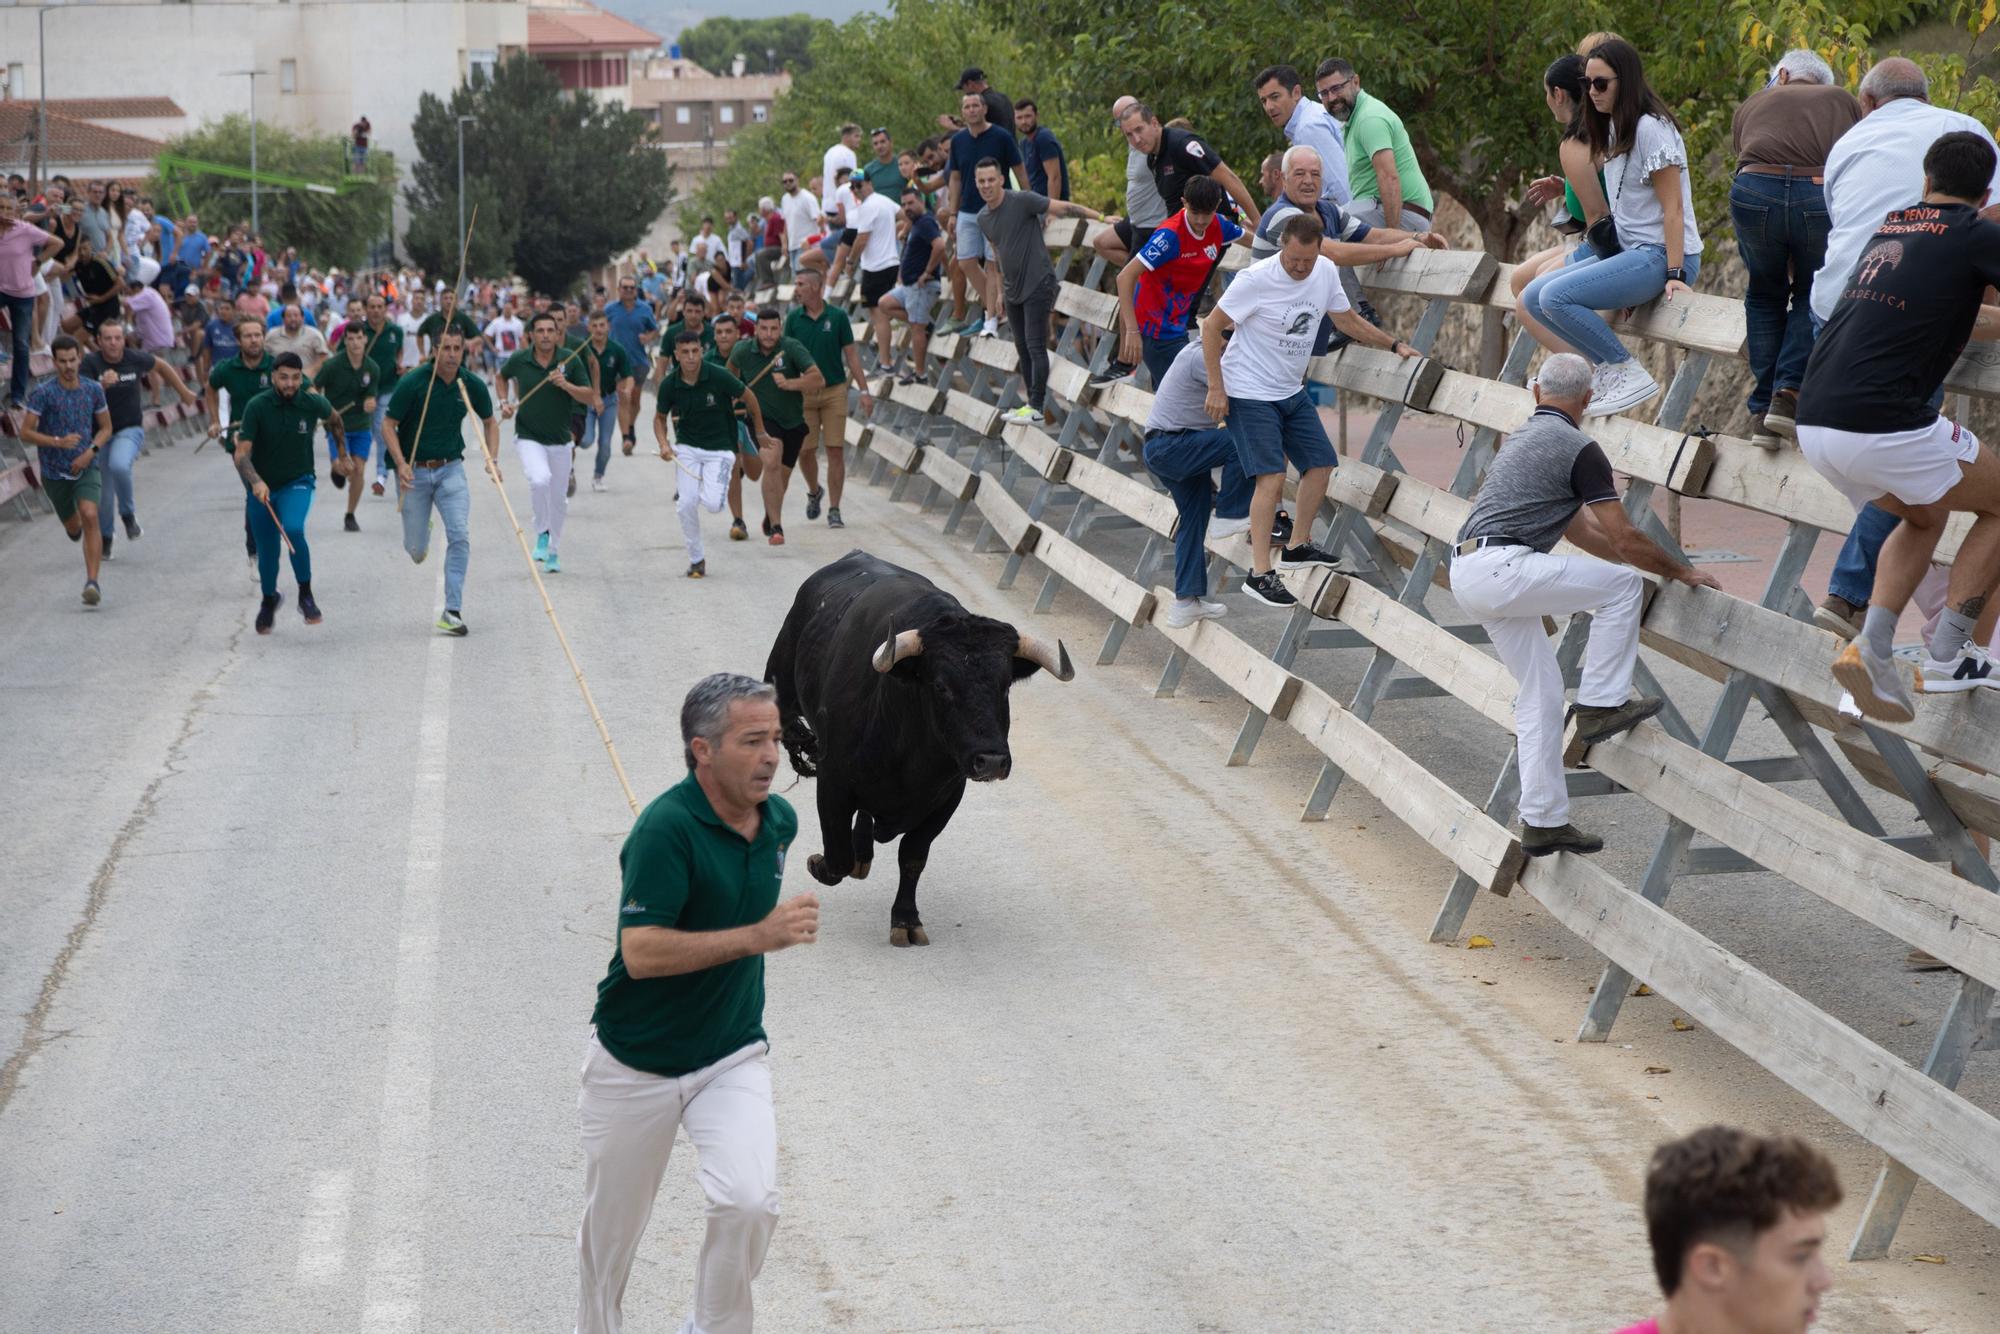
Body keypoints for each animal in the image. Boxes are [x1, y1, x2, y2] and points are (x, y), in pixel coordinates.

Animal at [764, 552, 1080, 948]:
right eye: (941, 686)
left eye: (1005, 685)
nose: (991, 760)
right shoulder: (832, 783)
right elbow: (836, 857)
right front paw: (819, 864)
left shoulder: (946, 797)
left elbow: (912, 857)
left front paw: (905, 919)